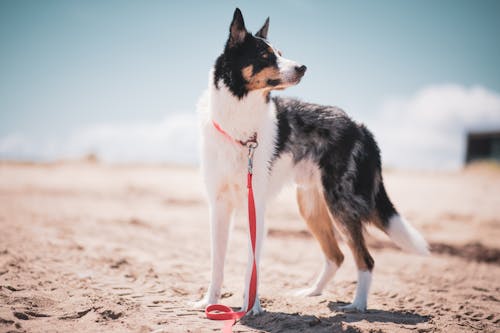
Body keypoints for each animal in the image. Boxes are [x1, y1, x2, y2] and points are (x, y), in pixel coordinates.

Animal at [195, 8, 430, 314]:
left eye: (280, 53)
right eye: (264, 55)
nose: (303, 67)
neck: (241, 123)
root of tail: (359, 125)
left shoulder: (256, 207)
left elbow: (251, 266)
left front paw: (252, 308)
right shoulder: (219, 207)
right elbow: (217, 264)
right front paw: (209, 302)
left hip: (341, 203)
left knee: (365, 259)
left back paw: (357, 305)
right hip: (312, 205)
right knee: (337, 255)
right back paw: (313, 292)